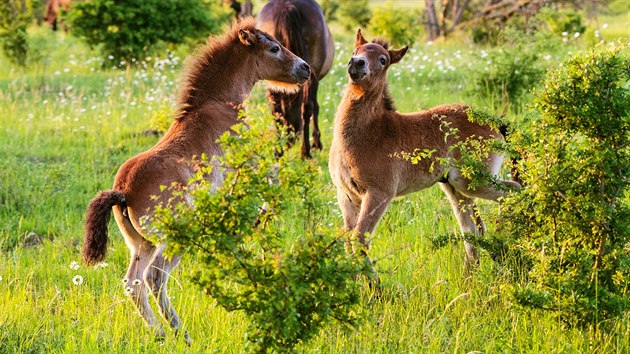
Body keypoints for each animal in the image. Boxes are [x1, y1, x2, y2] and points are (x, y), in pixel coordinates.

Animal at [84, 18, 312, 342]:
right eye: (274, 48)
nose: (305, 68)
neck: (218, 103)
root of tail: (122, 191)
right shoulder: (247, 157)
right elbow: (273, 175)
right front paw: (264, 215)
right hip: (173, 238)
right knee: (155, 277)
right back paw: (182, 333)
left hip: (142, 244)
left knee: (133, 283)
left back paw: (161, 334)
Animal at [256, 0, 336, 158]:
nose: (290, 141)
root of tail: (288, 7)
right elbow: (315, 107)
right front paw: (316, 143)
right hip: (312, 75)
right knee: (307, 108)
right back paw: (306, 152)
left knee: (276, 109)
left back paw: (278, 151)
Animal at [328, 30, 520, 274]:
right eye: (355, 51)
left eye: (383, 60)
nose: (356, 63)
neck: (369, 133)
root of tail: (494, 120)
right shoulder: (346, 195)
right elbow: (347, 243)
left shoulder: (379, 193)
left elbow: (359, 241)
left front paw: (375, 285)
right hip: (454, 187)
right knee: (472, 229)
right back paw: (471, 275)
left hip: (472, 182)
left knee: (513, 191)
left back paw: (504, 241)